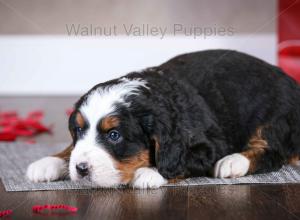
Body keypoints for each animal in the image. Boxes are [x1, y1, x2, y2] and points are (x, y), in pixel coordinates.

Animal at [25, 50, 300, 189]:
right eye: (79, 130)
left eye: (114, 135)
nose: (81, 169)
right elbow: (70, 149)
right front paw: (49, 162)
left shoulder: (207, 145)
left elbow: (179, 161)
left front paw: (149, 173)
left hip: (273, 114)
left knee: (273, 152)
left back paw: (233, 162)